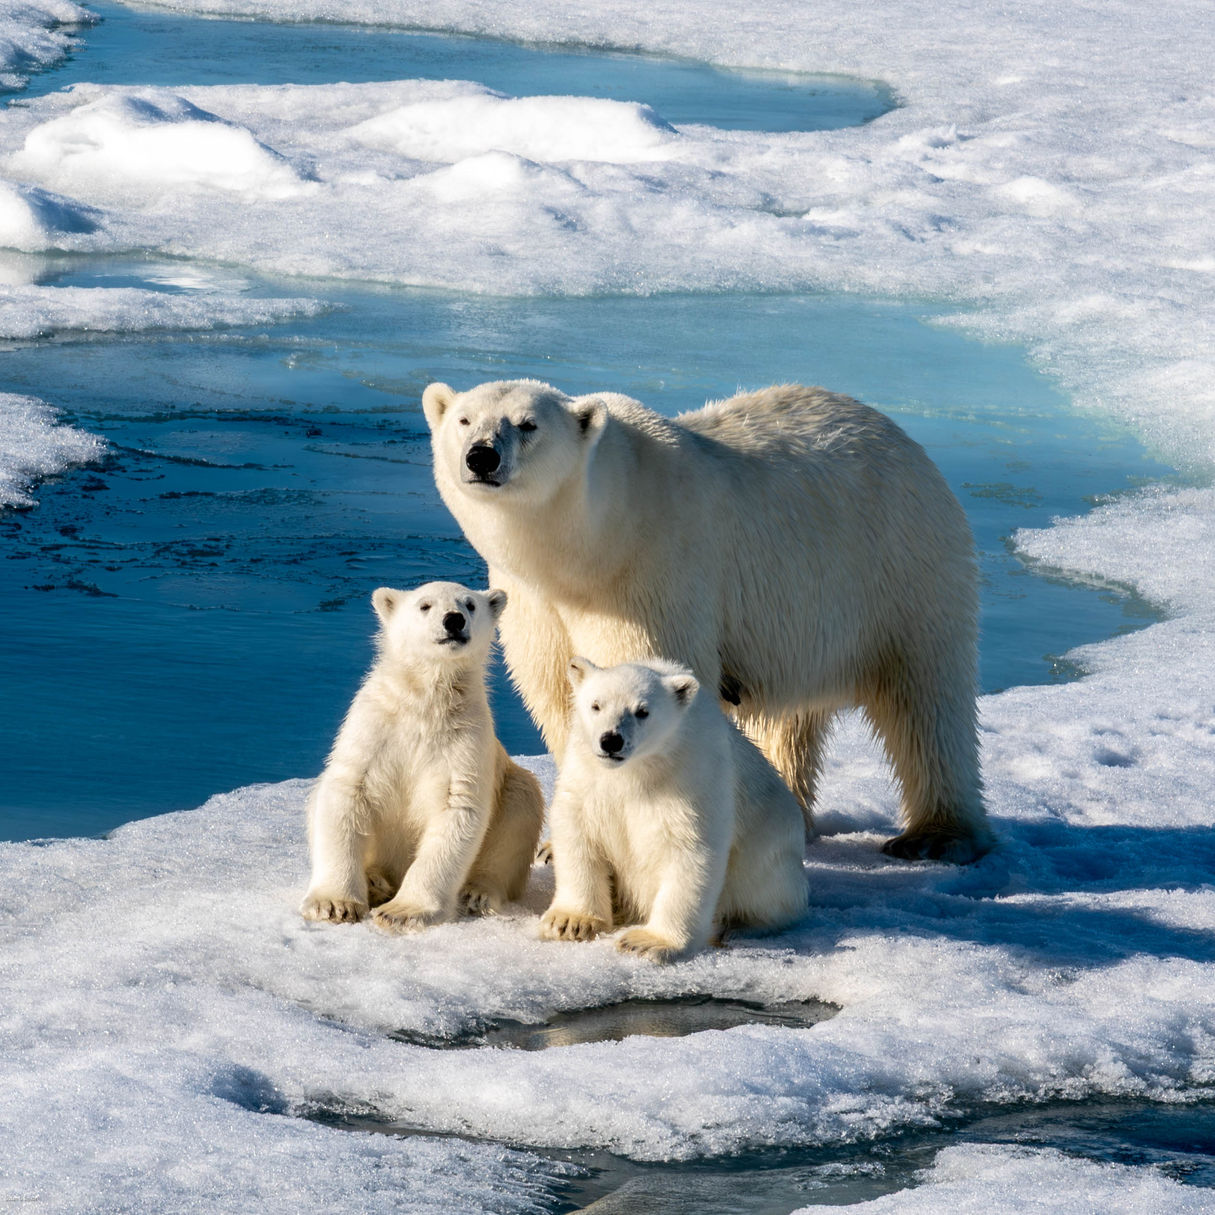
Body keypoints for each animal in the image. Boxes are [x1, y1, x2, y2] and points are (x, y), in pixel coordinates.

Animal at [300, 580, 544, 931]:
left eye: (470, 604)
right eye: (424, 605)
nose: (453, 620)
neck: (425, 701)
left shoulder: (466, 740)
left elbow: (457, 809)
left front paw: (402, 911)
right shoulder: (374, 728)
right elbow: (347, 793)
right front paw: (334, 903)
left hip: (511, 786)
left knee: (520, 809)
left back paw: (477, 893)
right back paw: (374, 881)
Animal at [423, 378, 994, 865]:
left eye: (527, 424)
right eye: (465, 419)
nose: (481, 455)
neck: (591, 544)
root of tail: (907, 442)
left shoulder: (651, 575)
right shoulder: (537, 605)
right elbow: (560, 697)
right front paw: (558, 843)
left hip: (900, 570)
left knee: (926, 699)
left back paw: (936, 837)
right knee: (787, 718)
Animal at [540, 656, 808, 961]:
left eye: (643, 711)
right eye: (596, 705)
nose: (611, 740)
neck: (636, 770)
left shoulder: (690, 778)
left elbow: (688, 852)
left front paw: (648, 942)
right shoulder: (587, 778)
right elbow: (578, 832)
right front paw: (570, 921)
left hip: (769, 860)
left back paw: (734, 928)